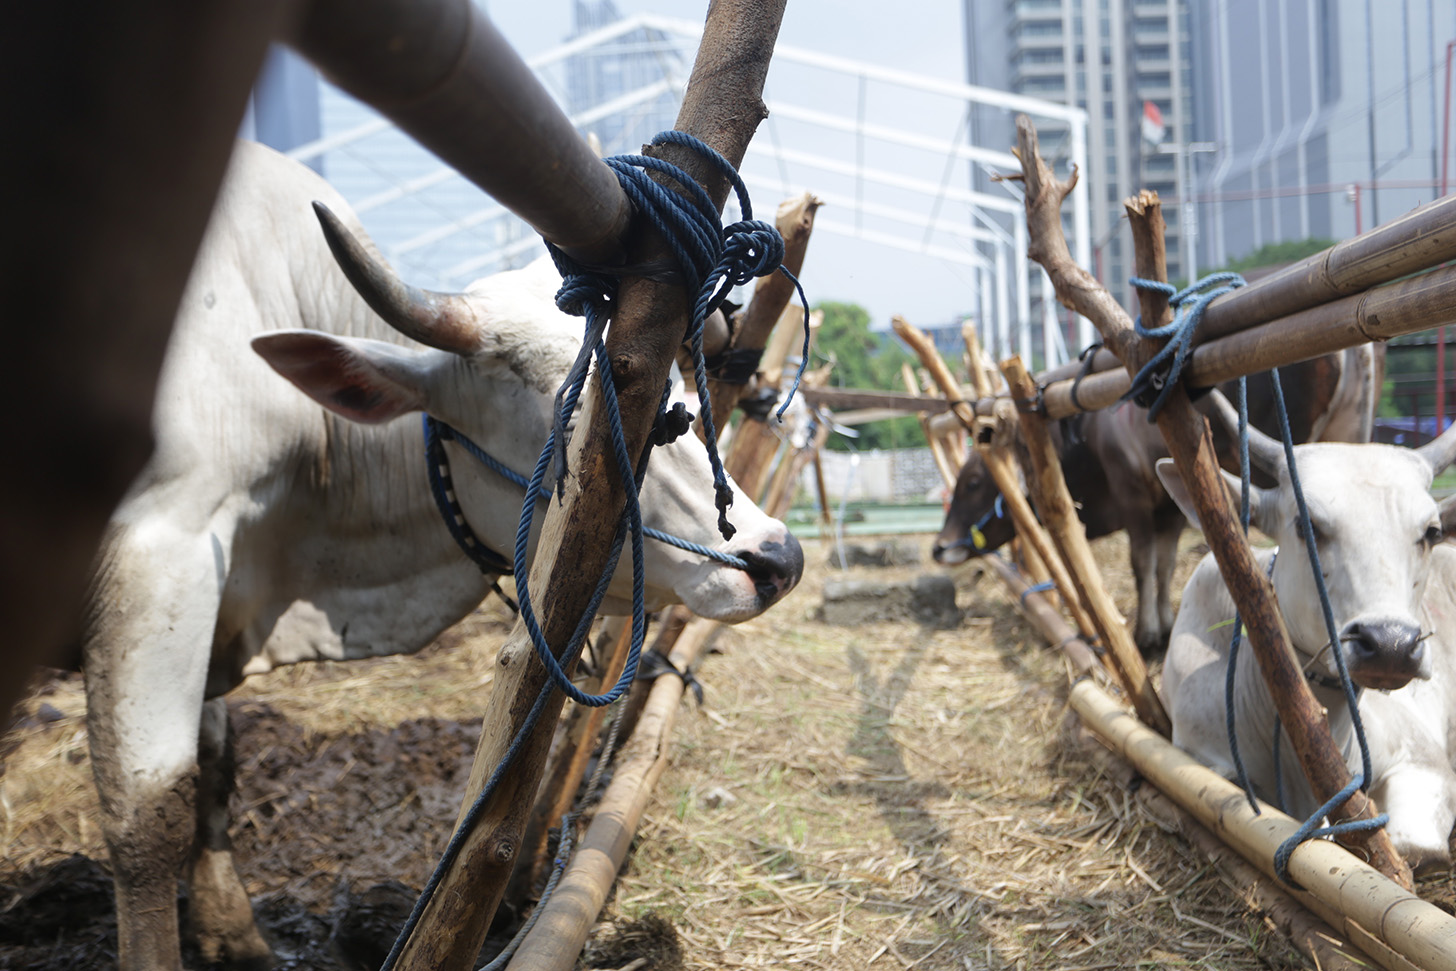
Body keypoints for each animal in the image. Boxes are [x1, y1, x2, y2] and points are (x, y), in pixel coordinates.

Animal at [83, 138, 803, 971]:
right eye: (584, 413)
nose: (778, 557)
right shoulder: (157, 551)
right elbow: (145, 822)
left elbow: (216, 767)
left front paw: (232, 933)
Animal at [1158, 410, 1456, 873]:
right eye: (1307, 525)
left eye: (1432, 531)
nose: (1391, 645)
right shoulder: (1202, 758)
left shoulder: (1425, 761)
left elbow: (1420, 852)